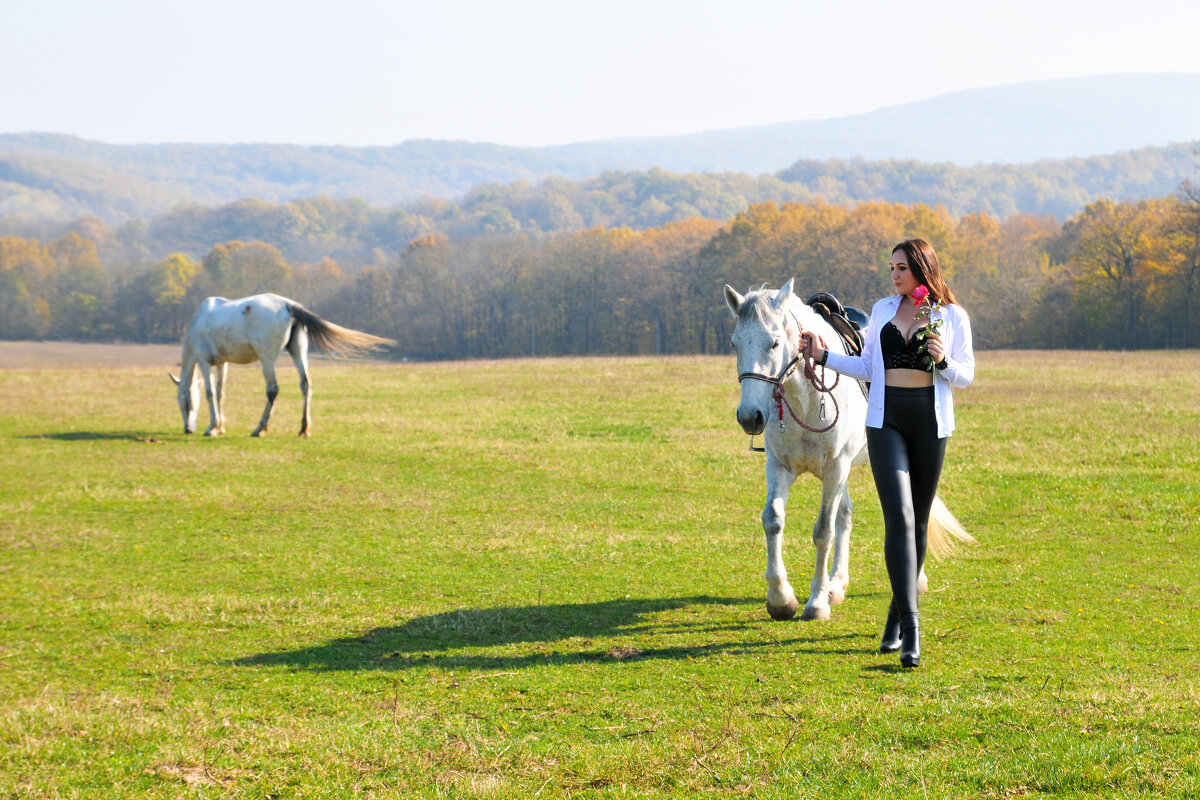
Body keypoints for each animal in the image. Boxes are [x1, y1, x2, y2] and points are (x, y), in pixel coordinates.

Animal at [171, 292, 393, 434]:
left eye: (184, 403)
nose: (188, 429)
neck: (201, 320)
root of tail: (288, 305)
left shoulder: (204, 361)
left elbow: (210, 394)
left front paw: (212, 427)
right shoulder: (222, 363)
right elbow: (220, 393)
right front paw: (221, 426)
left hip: (267, 359)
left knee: (272, 389)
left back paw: (260, 428)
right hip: (298, 351)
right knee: (305, 384)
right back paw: (303, 428)